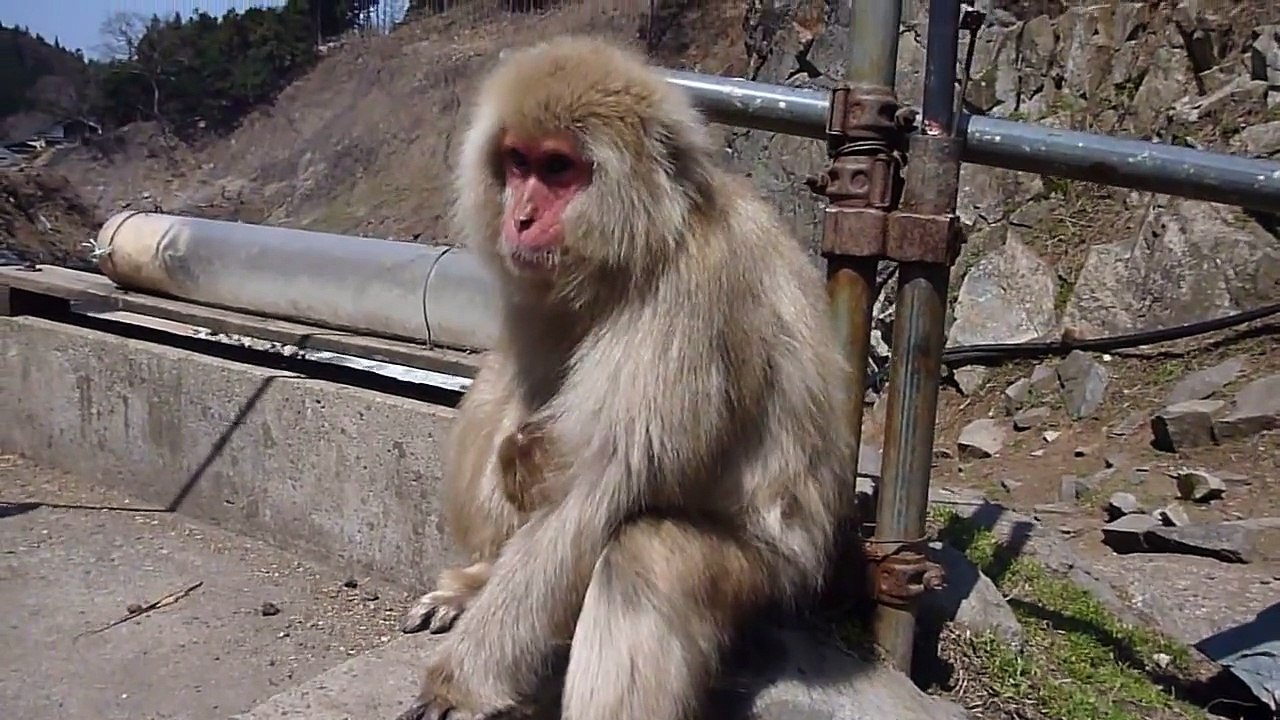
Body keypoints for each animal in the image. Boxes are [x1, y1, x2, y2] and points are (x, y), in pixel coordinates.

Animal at [394, 34, 856, 720]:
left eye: (558, 169)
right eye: (517, 162)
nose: (520, 217)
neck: (649, 239)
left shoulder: (688, 298)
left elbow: (598, 486)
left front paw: (458, 685)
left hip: (771, 581)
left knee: (647, 555)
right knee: (502, 392)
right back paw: (478, 575)